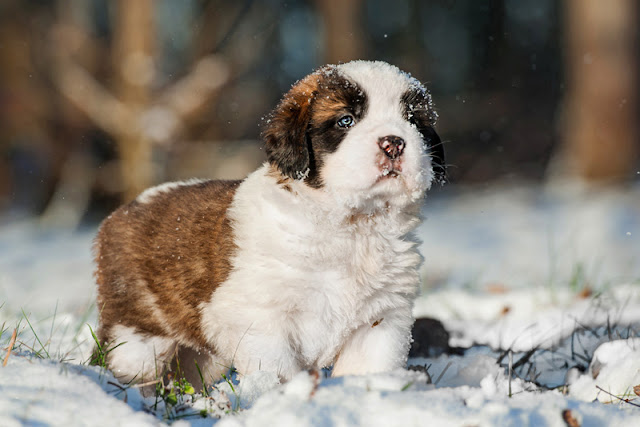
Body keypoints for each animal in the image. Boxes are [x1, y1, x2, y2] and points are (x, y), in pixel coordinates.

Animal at [94, 60, 444, 392]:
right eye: (346, 121)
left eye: (413, 120)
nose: (394, 143)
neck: (353, 226)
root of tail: (122, 211)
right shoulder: (259, 318)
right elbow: (277, 370)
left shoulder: (381, 318)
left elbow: (368, 367)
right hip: (137, 338)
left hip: (204, 357)